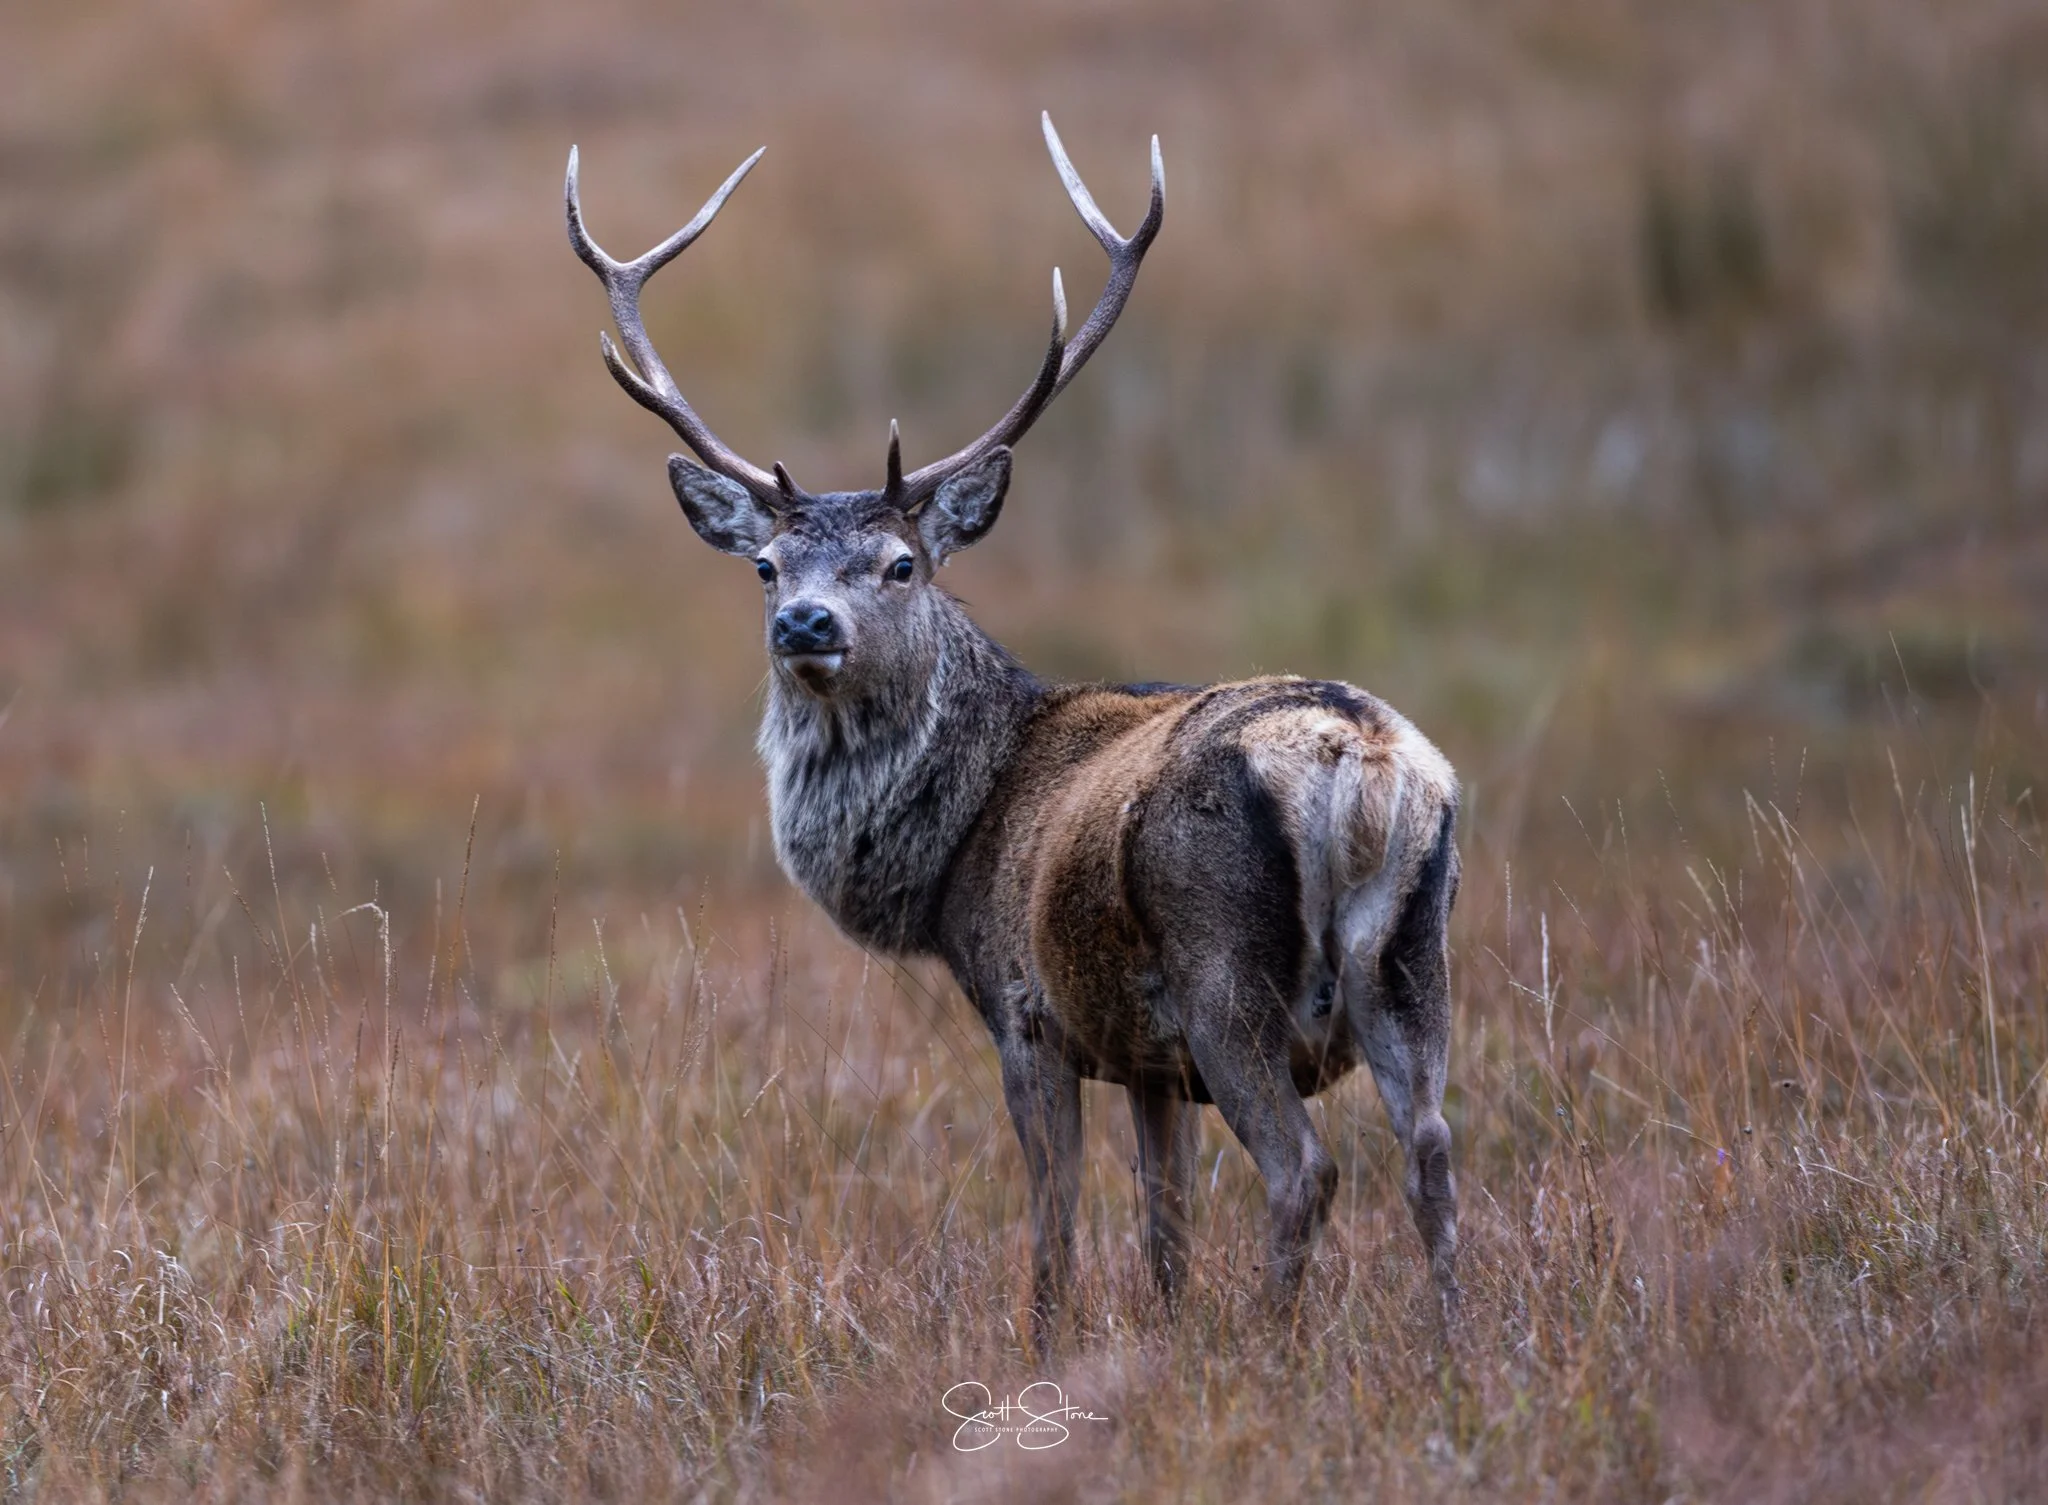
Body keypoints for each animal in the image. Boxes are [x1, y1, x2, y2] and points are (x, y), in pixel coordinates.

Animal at [566, 116, 1462, 1347]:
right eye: (765, 565)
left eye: (900, 562)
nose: (806, 622)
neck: (953, 853)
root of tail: (1361, 769)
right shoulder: (1148, 1058)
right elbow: (1164, 1225)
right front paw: (1164, 1334)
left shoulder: (1031, 1014)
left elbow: (1055, 1219)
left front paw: (1048, 1345)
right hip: (1412, 954)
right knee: (1430, 1148)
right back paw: (1460, 1341)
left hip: (1226, 968)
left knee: (1304, 1170)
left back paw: (1272, 1347)